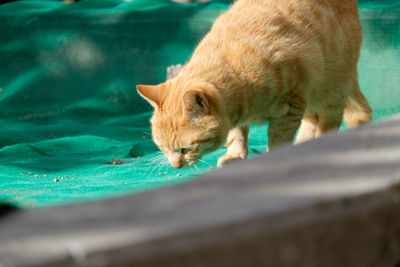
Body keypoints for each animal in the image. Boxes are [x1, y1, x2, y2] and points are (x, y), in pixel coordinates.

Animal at [138, 0, 372, 169]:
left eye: (185, 149)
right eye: (162, 148)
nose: (175, 167)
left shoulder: (291, 104)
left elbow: (279, 137)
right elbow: (238, 134)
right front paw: (235, 154)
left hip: (331, 88)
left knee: (332, 119)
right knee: (313, 120)